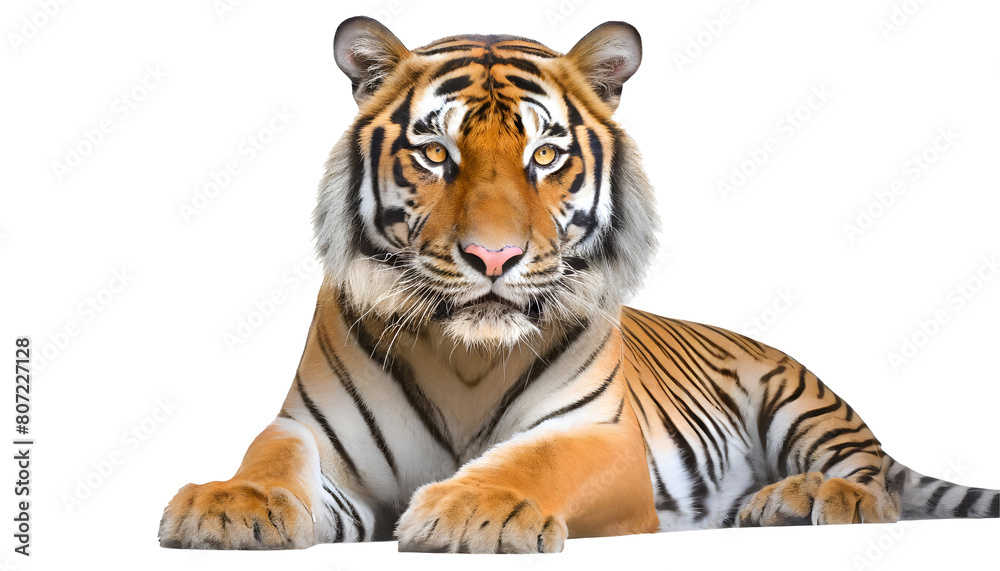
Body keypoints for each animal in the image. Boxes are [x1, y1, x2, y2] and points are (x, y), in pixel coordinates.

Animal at [158, 16, 999, 552]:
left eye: (544, 156)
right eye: (436, 155)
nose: (491, 257)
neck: (465, 357)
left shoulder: (603, 436)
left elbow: (536, 459)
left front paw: (472, 505)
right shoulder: (313, 431)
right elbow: (273, 455)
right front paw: (229, 502)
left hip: (800, 401)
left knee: (874, 480)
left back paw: (807, 498)